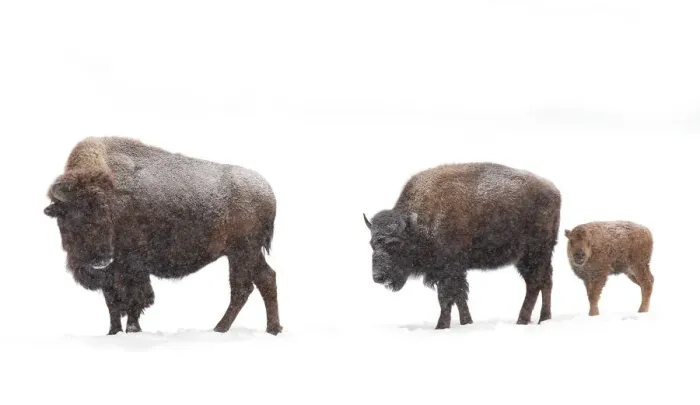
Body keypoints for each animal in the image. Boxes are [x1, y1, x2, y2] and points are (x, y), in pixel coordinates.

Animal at [44, 136, 282, 335]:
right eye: (74, 216)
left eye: (108, 214)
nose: (101, 259)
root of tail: (267, 191)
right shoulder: (109, 275)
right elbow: (112, 303)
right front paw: (113, 332)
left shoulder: (132, 267)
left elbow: (135, 299)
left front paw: (132, 331)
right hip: (244, 254)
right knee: (266, 279)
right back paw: (272, 329)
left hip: (242, 252)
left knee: (243, 287)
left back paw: (220, 329)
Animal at [364, 162, 561, 328]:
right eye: (372, 244)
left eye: (395, 244)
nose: (378, 277)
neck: (419, 224)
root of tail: (553, 190)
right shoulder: (455, 270)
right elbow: (459, 296)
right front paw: (467, 322)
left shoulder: (448, 269)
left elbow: (446, 297)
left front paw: (441, 326)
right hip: (536, 257)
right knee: (545, 282)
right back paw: (544, 319)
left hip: (533, 254)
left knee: (535, 284)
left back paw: (522, 321)